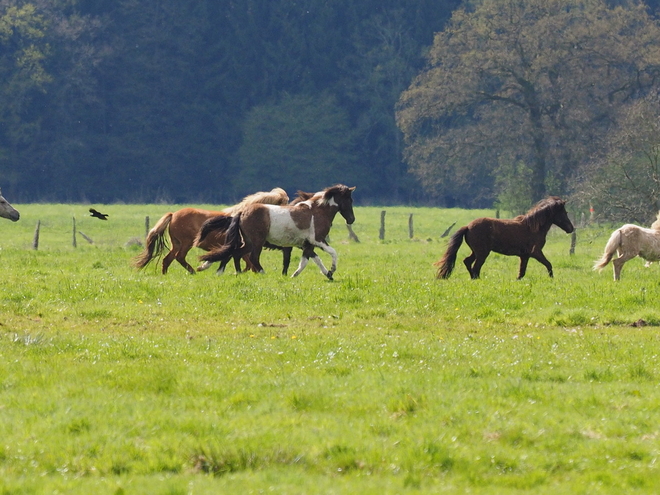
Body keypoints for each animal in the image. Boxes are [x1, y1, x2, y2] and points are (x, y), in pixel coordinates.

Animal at [132, 189, 288, 278]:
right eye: (283, 204)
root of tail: (173, 214)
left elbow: (245, 263)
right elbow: (247, 263)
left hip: (176, 244)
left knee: (167, 259)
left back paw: (165, 275)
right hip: (187, 243)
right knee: (179, 257)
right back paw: (193, 272)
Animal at [196, 184, 356, 280]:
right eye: (350, 200)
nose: (351, 219)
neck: (318, 211)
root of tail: (241, 213)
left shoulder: (307, 245)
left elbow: (307, 261)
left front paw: (325, 275)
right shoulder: (318, 240)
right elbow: (333, 253)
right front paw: (332, 270)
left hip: (248, 242)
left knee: (235, 253)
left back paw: (237, 272)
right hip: (257, 242)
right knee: (252, 257)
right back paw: (262, 273)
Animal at [434, 197, 572, 280]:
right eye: (564, 213)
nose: (571, 228)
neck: (533, 227)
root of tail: (467, 226)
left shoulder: (525, 256)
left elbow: (522, 272)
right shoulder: (536, 252)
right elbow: (548, 264)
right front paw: (552, 279)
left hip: (476, 252)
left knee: (467, 262)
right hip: (482, 253)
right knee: (475, 267)